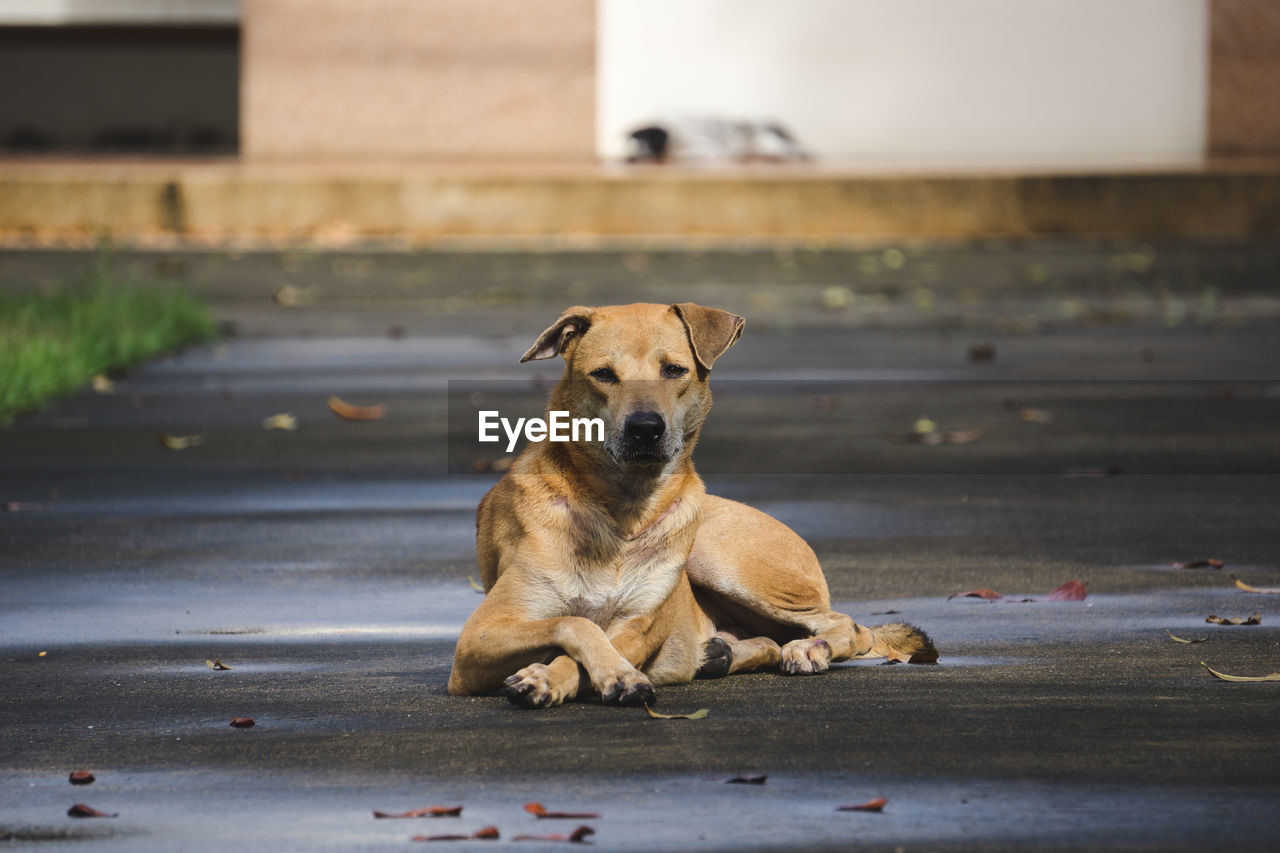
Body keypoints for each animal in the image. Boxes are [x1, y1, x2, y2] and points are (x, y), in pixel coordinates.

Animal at [445, 302, 936, 706]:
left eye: (674, 370)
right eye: (603, 374)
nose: (645, 428)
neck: (623, 512)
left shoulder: (639, 627)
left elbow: (590, 641)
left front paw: (576, 676)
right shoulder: (478, 639)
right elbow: (575, 623)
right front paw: (584, 675)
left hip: (720, 558)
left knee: (849, 626)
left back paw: (808, 648)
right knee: (771, 641)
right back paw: (723, 653)